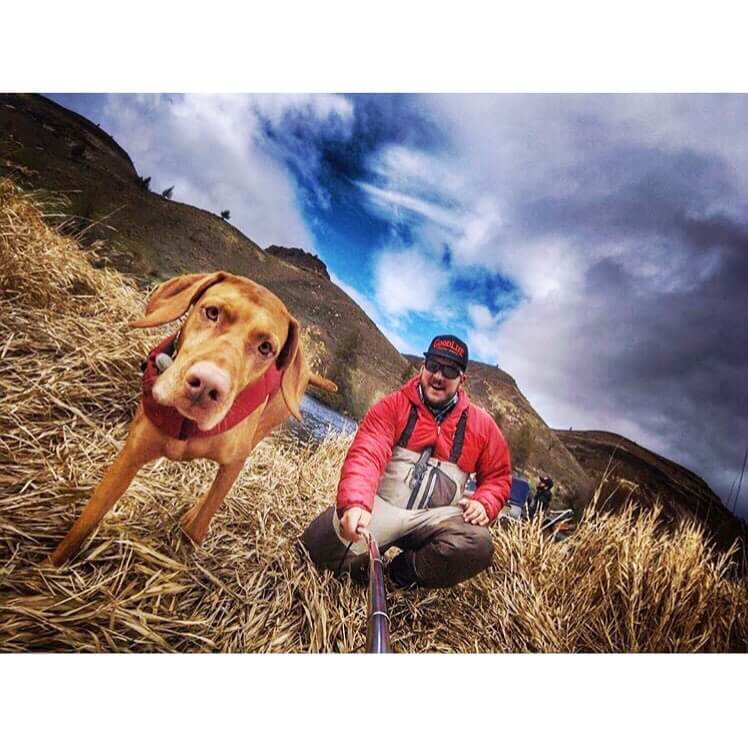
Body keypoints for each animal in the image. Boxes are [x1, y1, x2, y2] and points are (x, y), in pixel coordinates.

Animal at [49, 272, 336, 564]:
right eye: (212, 312)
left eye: (266, 347)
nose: (207, 386)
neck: (188, 426)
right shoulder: (130, 457)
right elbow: (84, 523)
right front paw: (49, 568)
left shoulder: (235, 461)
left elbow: (200, 524)